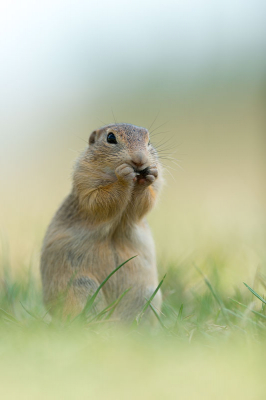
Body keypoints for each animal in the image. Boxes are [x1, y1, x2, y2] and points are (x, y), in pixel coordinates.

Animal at [40, 123, 163, 320]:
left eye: (149, 141)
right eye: (110, 138)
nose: (139, 160)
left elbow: (143, 204)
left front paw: (149, 176)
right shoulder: (85, 180)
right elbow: (100, 200)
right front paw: (123, 176)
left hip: (146, 294)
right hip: (80, 286)